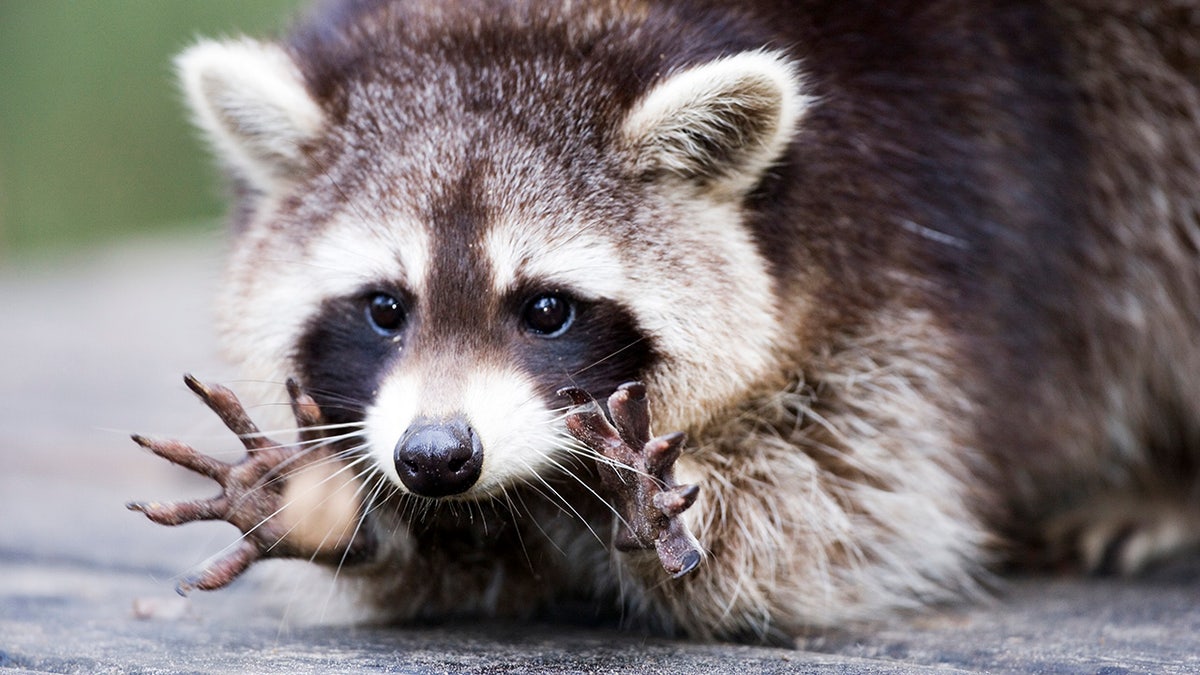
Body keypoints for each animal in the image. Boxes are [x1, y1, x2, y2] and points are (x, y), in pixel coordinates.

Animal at [136, 0, 1200, 638]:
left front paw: (638, 507)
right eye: (386, 308)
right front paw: (340, 508)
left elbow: (846, 506)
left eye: (547, 309)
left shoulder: (928, 240)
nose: (437, 458)